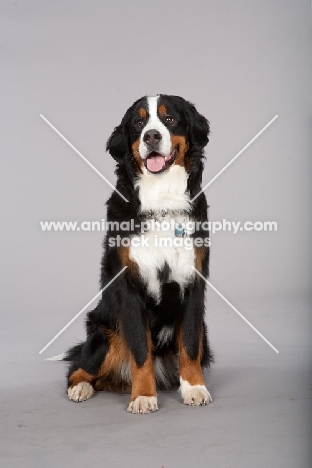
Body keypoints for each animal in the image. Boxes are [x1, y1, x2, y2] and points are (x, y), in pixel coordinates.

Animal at [64, 94, 213, 414]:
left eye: (169, 119)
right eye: (138, 123)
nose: (152, 136)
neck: (161, 202)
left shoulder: (193, 284)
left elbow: (190, 345)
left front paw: (194, 388)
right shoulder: (128, 287)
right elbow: (140, 348)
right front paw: (143, 395)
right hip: (105, 332)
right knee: (79, 368)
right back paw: (80, 388)